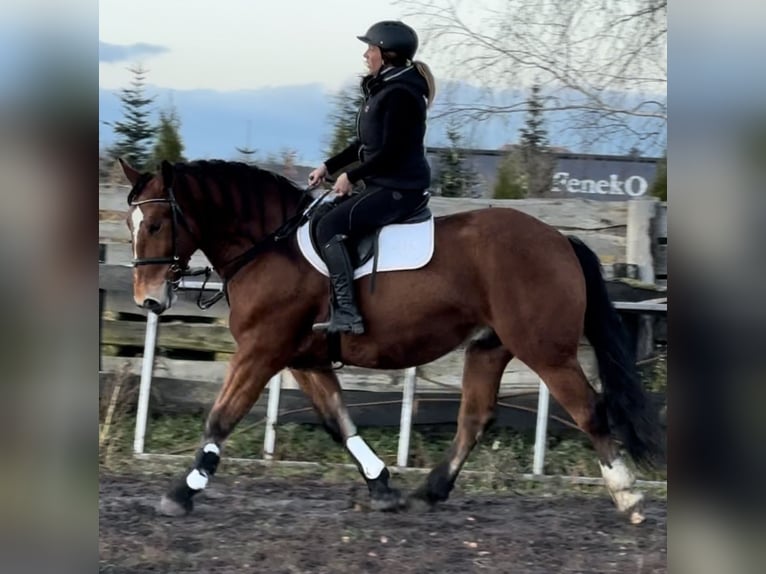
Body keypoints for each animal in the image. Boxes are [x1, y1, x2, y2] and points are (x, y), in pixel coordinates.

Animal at [120, 158, 664, 528]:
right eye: (130, 225)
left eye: (156, 224)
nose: (148, 299)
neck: (269, 246)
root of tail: (559, 239)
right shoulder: (303, 360)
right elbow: (339, 422)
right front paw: (382, 487)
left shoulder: (262, 351)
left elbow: (221, 417)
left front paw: (182, 491)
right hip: (489, 346)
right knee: (474, 417)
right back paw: (429, 492)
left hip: (545, 350)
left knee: (589, 409)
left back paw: (628, 496)